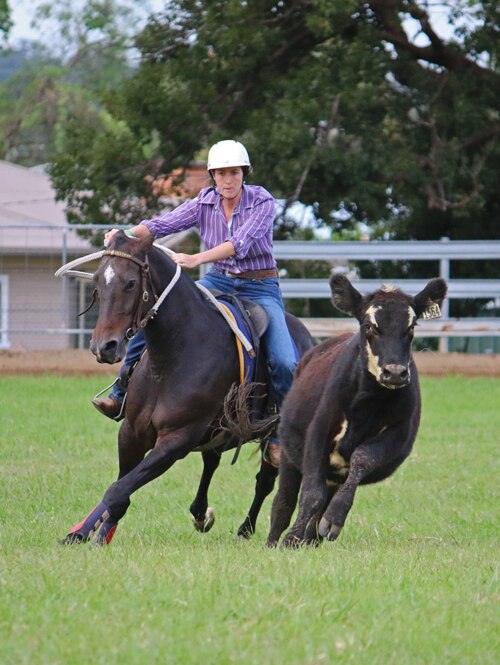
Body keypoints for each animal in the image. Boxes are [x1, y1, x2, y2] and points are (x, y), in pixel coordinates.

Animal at [54, 231, 312, 544]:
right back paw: (201, 514)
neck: (174, 356)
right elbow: (121, 484)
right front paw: (88, 532)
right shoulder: (131, 432)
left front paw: (90, 534)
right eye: (97, 280)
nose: (104, 346)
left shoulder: (177, 439)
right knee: (212, 462)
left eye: (130, 283)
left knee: (265, 478)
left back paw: (245, 528)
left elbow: (118, 490)